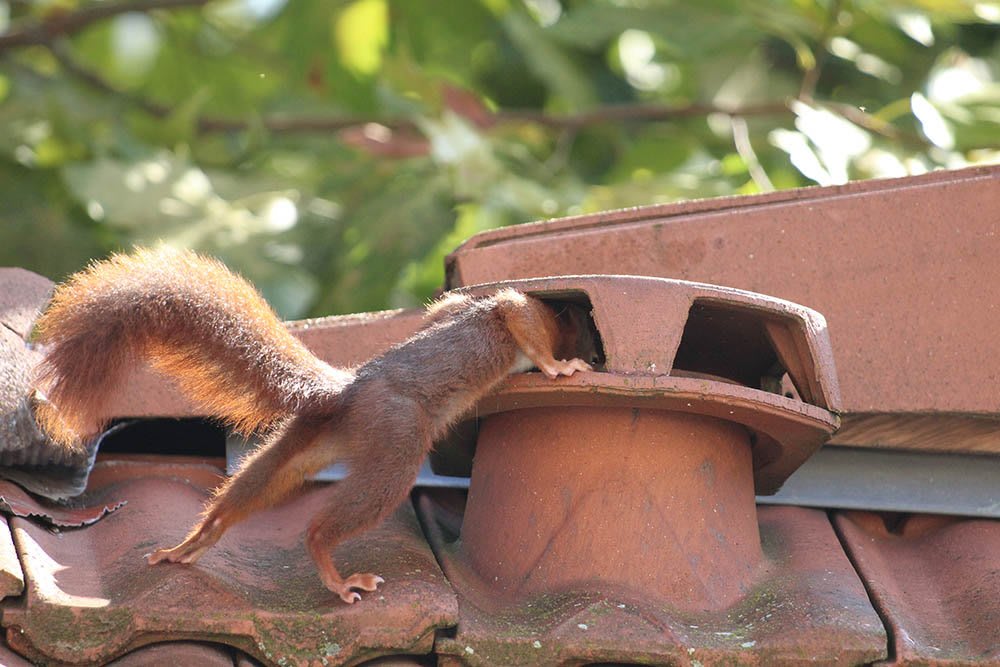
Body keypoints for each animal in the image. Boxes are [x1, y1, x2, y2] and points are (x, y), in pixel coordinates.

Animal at [31, 247, 595, 603]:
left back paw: (189, 545)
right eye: (587, 330)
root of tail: (345, 392)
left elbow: (448, 308)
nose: (592, 353)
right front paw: (558, 368)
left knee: (245, 493)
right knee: (324, 526)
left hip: (304, 444)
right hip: (395, 439)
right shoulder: (525, 313)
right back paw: (336, 576)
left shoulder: (460, 306)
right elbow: (518, 316)